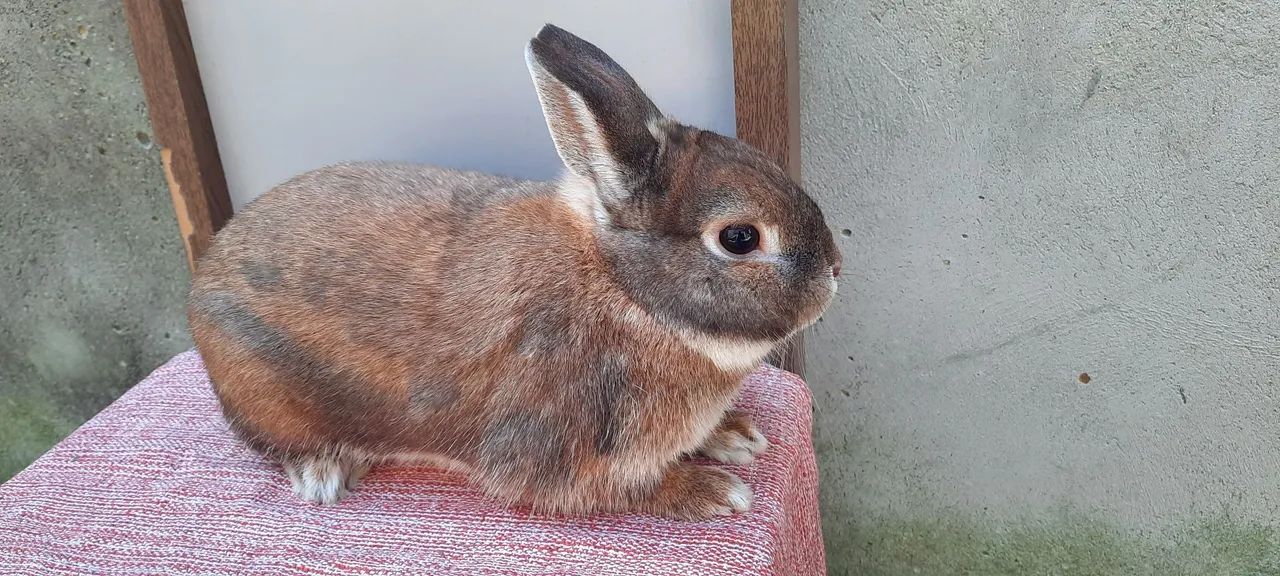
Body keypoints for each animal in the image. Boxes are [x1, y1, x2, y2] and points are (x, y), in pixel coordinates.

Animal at [187, 24, 841, 520]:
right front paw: (716, 491)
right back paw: (323, 471)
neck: (628, 294)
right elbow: (621, 489)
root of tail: (203, 282)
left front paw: (735, 435)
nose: (835, 271)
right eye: (739, 238)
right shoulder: (559, 452)